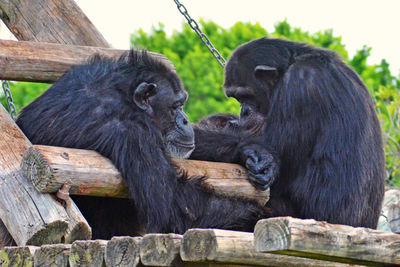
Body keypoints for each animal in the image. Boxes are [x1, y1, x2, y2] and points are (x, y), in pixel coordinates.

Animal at [17, 49, 270, 239]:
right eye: (176, 106)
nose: (185, 119)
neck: (123, 96)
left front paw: (252, 153)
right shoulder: (133, 133)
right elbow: (171, 202)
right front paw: (261, 214)